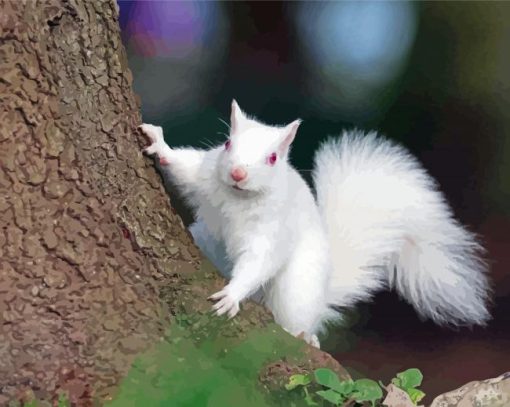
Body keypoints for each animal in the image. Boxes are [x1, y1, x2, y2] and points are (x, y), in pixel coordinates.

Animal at [138, 100, 490, 350]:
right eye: (227, 145)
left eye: (272, 159)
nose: (238, 173)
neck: (238, 197)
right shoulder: (204, 174)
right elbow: (181, 165)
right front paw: (158, 143)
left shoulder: (273, 228)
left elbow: (259, 261)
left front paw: (232, 295)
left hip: (297, 290)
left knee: (296, 319)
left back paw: (306, 336)